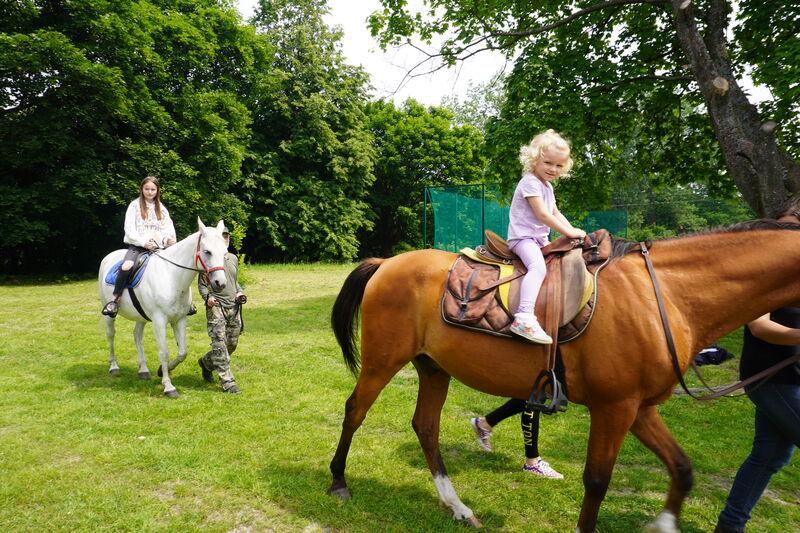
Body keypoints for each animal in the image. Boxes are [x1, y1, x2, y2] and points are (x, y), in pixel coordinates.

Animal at [97, 216, 228, 394]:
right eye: (207, 252)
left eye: (224, 252)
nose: (220, 283)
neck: (171, 277)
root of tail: (108, 257)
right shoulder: (159, 321)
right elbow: (164, 352)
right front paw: (168, 385)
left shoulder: (180, 319)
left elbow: (182, 352)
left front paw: (162, 370)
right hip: (110, 314)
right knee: (111, 335)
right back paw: (114, 367)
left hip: (141, 316)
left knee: (137, 335)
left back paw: (143, 370)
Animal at [324, 220, 800, 528]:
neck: (663, 295)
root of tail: (387, 263)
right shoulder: (614, 408)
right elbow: (597, 482)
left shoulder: (638, 407)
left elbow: (682, 468)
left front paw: (665, 522)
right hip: (383, 360)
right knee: (355, 410)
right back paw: (339, 481)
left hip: (434, 368)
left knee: (425, 426)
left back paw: (457, 506)